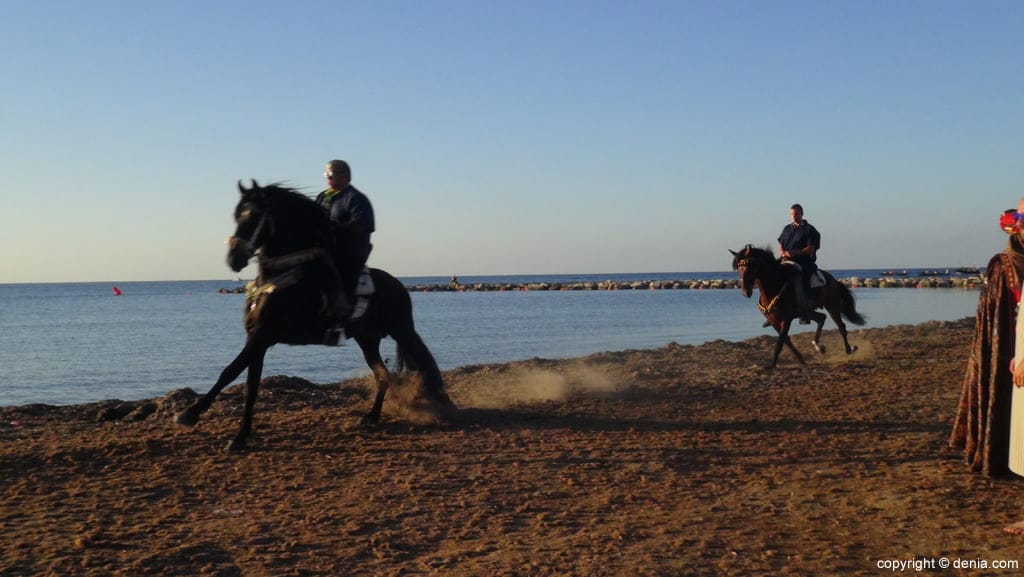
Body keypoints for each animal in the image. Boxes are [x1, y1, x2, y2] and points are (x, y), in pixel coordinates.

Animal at [175, 180, 453, 451]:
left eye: (253, 215)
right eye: (236, 215)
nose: (234, 258)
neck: (278, 278)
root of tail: (399, 286)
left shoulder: (262, 336)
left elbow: (230, 372)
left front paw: (190, 414)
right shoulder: (256, 339)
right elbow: (250, 388)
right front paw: (241, 435)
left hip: (402, 330)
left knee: (423, 363)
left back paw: (443, 405)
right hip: (367, 339)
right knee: (383, 376)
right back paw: (372, 416)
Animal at [730, 244, 866, 369]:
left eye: (750, 266)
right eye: (739, 268)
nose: (746, 292)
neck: (775, 286)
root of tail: (833, 280)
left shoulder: (786, 319)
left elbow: (780, 342)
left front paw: (772, 365)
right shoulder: (773, 321)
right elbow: (787, 341)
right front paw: (801, 359)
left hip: (832, 306)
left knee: (841, 327)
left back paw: (849, 349)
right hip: (808, 311)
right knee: (821, 318)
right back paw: (818, 346)